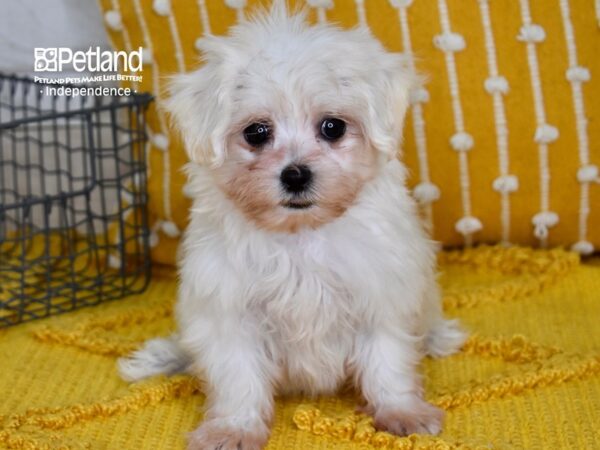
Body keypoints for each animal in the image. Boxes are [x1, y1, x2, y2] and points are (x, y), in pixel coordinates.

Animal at [119, 4, 466, 450]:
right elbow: (238, 376)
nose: (296, 175)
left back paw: (438, 337)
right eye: (256, 132)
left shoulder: (379, 295)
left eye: (333, 127)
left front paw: (402, 411)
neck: (300, 234)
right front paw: (233, 428)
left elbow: (387, 362)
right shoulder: (230, 310)